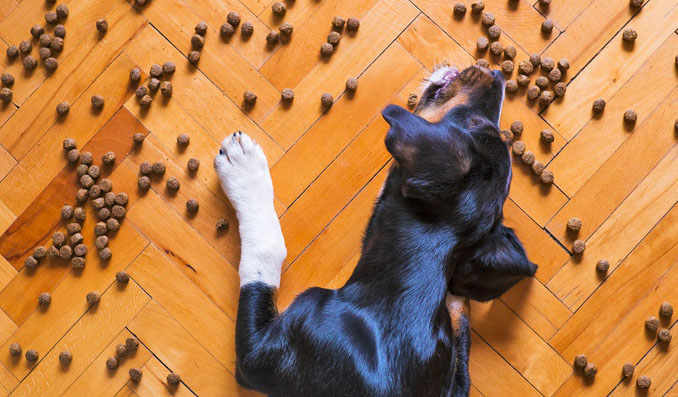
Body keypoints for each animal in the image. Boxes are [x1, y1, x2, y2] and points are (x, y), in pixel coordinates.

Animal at [215, 65, 540, 396]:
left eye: (472, 124)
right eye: (485, 126)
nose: (496, 73)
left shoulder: (259, 356)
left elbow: (266, 253)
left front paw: (243, 167)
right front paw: (455, 299)